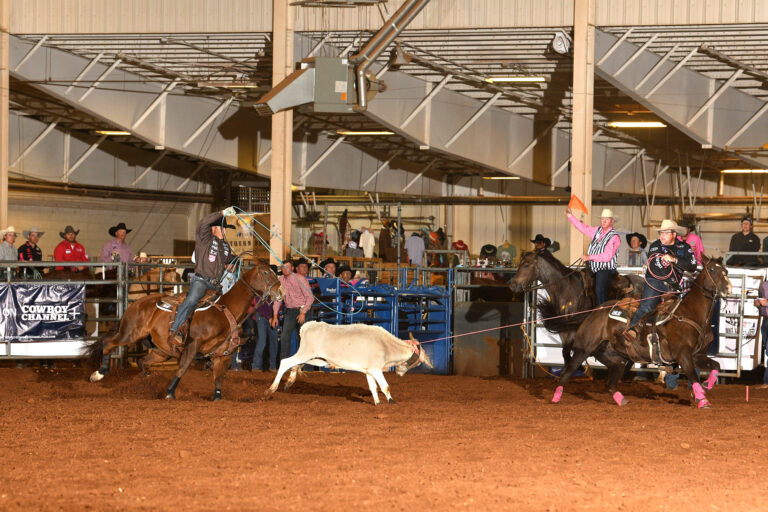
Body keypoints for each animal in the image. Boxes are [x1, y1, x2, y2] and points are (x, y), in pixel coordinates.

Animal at [86, 262, 284, 402]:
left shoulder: (224, 355)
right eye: (266, 272)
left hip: (161, 351)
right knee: (108, 344)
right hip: (129, 333)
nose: (281, 291)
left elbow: (218, 379)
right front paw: (169, 393)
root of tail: (136, 303)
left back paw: (146, 379)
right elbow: (183, 368)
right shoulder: (192, 345)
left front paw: (217, 397)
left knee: (143, 361)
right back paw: (98, 373)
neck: (226, 311)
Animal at [264, 322, 432, 406]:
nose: (400, 374)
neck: (386, 345)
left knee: (295, 365)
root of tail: (307, 326)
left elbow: (373, 387)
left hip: (316, 358)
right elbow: (385, 386)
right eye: (416, 362)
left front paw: (377, 403)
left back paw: (289, 382)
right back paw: (271, 390)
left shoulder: (369, 371)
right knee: (285, 362)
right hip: (307, 352)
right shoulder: (376, 369)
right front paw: (392, 402)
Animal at [548, 255, 728, 408]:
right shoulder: (683, 354)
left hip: (620, 359)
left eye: (725, 271)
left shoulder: (697, 355)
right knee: (567, 372)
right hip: (583, 349)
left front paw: (706, 385)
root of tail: (593, 312)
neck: (689, 314)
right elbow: (692, 374)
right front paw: (702, 400)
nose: (728, 287)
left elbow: (716, 366)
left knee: (610, 384)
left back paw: (621, 400)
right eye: (712, 269)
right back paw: (555, 397)